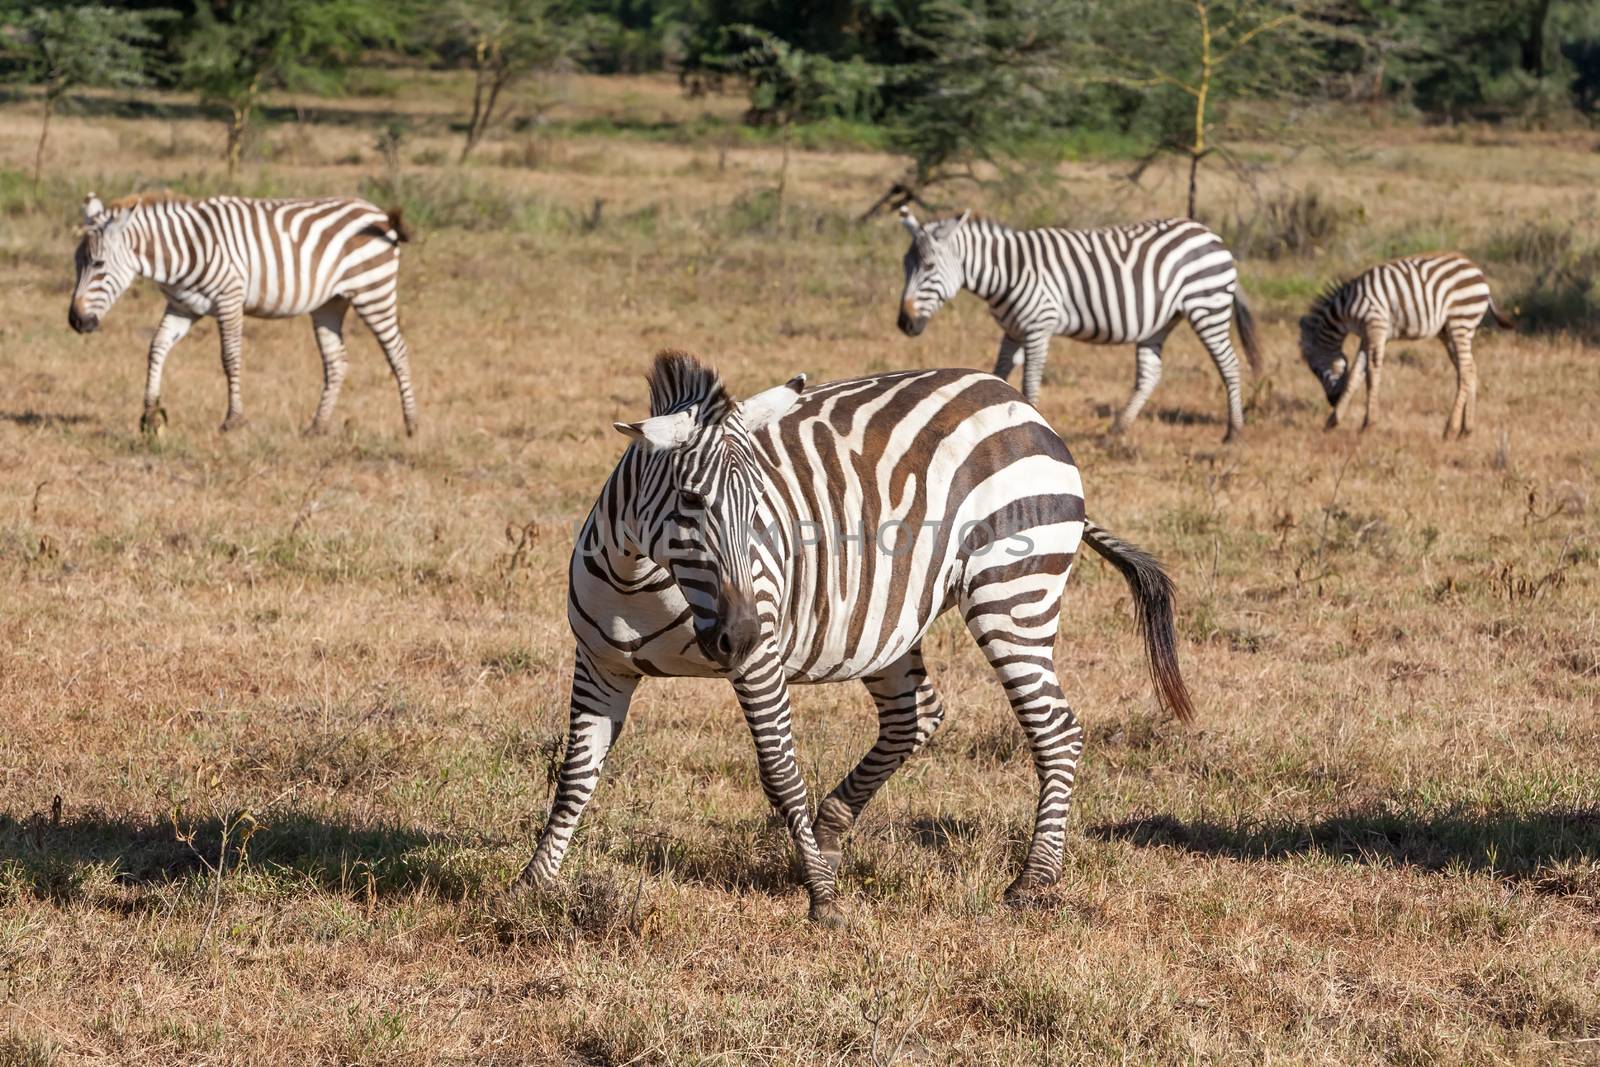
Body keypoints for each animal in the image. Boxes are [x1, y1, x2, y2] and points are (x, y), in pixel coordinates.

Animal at [68, 191, 419, 435]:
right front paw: (150, 416)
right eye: (76, 263)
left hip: (374, 293)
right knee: (336, 361)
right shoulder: (182, 307)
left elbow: (230, 357)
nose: (76, 321)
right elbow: (156, 349)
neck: (182, 251)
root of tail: (377, 212)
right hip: (330, 304)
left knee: (398, 352)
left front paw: (233, 420)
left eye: (99, 265)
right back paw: (317, 427)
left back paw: (411, 425)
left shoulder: (230, 299)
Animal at [508, 350, 1190, 927]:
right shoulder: (600, 664)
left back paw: (1031, 882)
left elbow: (781, 773)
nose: (739, 633)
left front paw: (822, 900)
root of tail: (1018, 403)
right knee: (917, 715)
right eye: (690, 501)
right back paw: (832, 832)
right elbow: (575, 774)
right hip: (888, 620)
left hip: (1013, 594)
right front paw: (533, 883)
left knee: (1056, 730)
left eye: (760, 507)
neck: (642, 575)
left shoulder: (759, 664)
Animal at [896, 206, 1254, 441]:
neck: (1007, 272)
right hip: (1159, 323)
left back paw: (1233, 432)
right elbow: (999, 374)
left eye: (929, 266)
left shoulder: (1038, 327)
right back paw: (1115, 432)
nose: (904, 323)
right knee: (1150, 375)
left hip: (1207, 307)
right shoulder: (1013, 331)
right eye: (905, 265)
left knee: (1229, 364)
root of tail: (1210, 234)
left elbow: (1029, 383)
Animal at [1299, 252, 1510, 441]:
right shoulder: (1367, 335)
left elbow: (1372, 373)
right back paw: (1466, 430)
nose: (1332, 401)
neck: (1346, 310)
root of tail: (1477, 271)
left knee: (1465, 370)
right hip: (1448, 331)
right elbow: (1355, 373)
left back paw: (1451, 429)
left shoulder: (1376, 326)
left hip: (1461, 322)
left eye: (1314, 369)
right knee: (1470, 368)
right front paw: (1333, 420)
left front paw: (1369, 424)